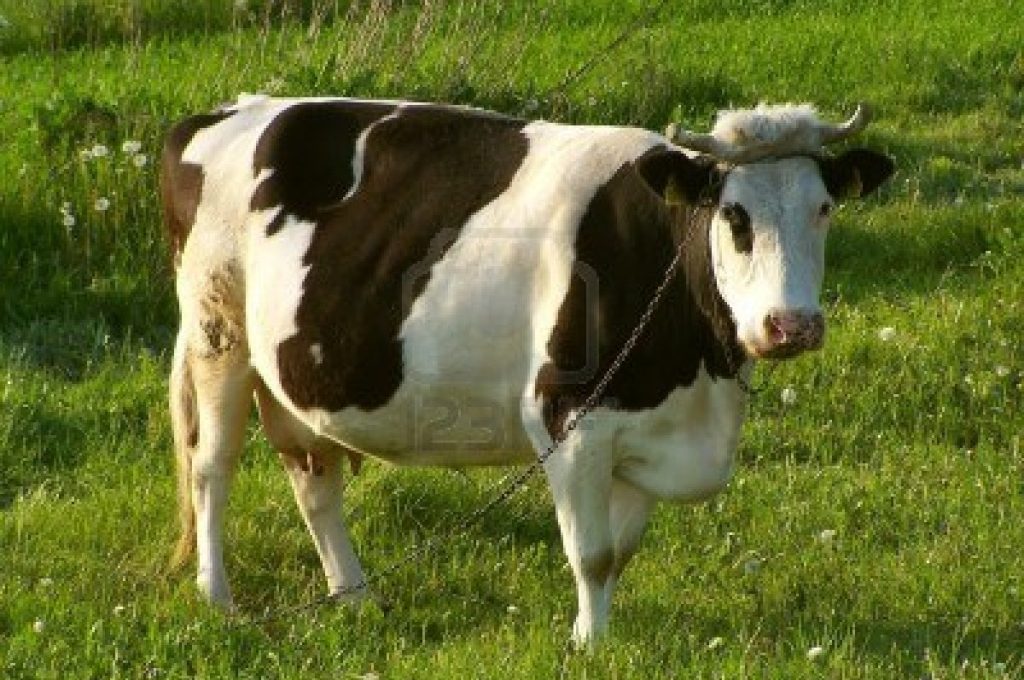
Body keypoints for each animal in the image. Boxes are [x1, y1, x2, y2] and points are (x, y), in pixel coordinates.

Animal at [161, 95, 893, 645]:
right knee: (211, 468)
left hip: (292, 369)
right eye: (735, 215)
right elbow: (592, 554)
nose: (791, 325)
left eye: (824, 208)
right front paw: (589, 645)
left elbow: (621, 551)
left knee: (314, 480)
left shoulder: (651, 426)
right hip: (218, 338)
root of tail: (228, 111)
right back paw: (218, 597)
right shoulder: (569, 422)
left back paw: (355, 595)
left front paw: (606, 636)